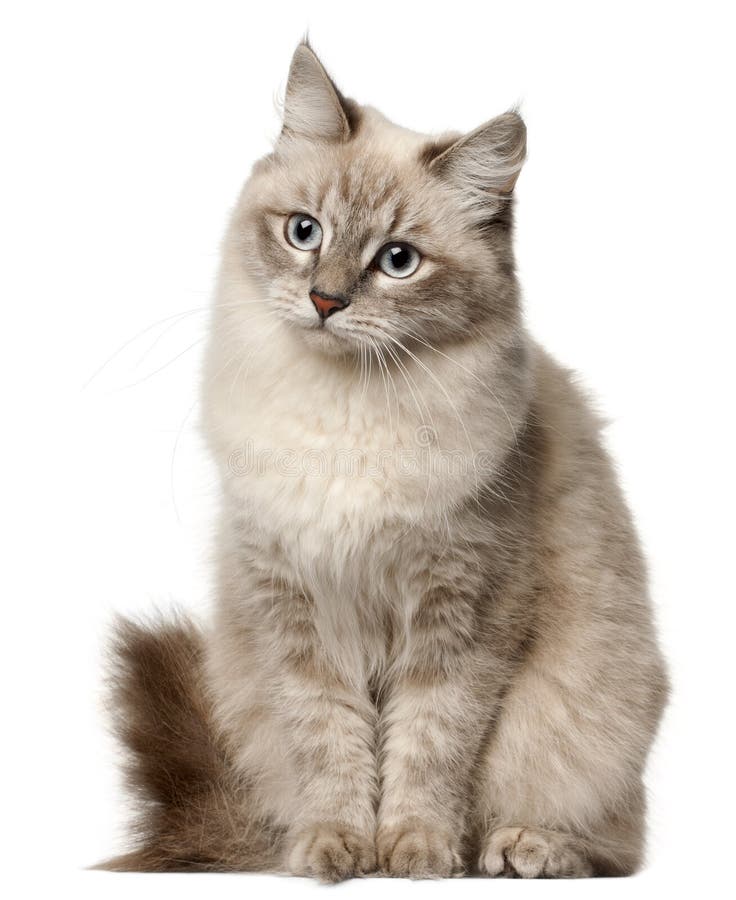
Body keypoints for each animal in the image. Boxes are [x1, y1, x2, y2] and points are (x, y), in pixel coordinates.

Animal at [102, 40, 668, 880]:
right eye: (304, 232)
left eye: (397, 261)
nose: (325, 301)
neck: (347, 414)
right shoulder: (297, 615)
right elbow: (329, 744)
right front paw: (336, 849)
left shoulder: (461, 616)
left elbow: (430, 747)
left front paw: (415, 851)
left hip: (588, 710)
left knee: (614, 841)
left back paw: (521, 850)